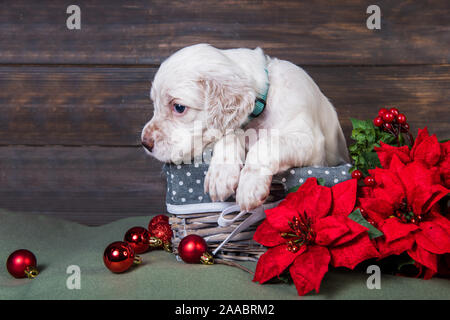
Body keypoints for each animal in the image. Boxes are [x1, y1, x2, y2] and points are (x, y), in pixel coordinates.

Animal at [142, 43, 350, 211]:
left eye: (178, 107)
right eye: (154, 104)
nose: (145, 143)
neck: (265, 98)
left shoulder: (311, 143)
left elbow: (268, 143)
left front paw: (250, 185)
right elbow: (231, 133)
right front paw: (221, 173)